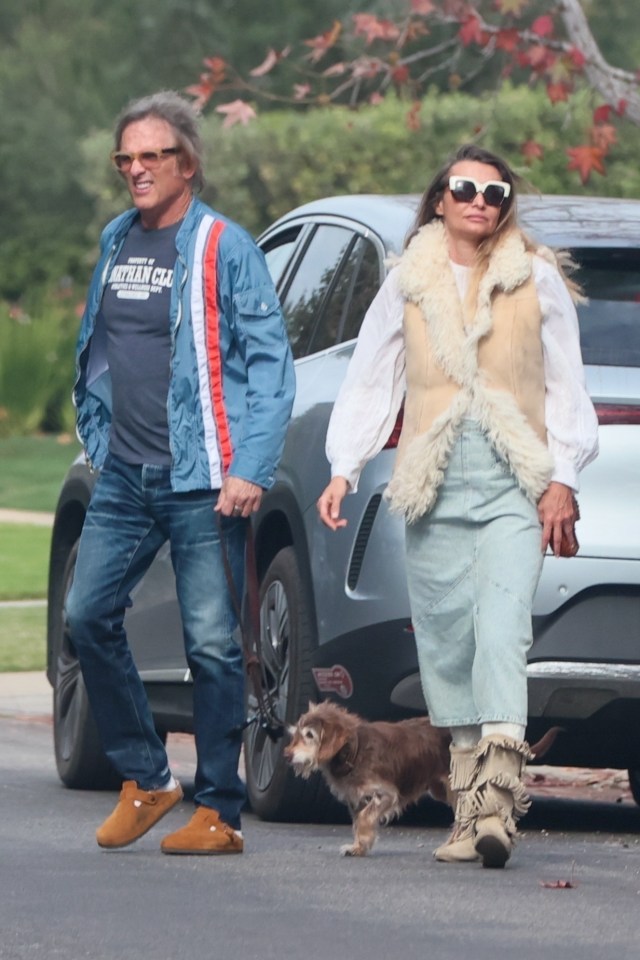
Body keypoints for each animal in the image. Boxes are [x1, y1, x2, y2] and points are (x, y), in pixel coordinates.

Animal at [282, 696, 452, 856]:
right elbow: (358, 822)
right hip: (440, 790)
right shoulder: (357, 799)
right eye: (296, 734)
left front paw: (361, 846)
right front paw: (358, 847)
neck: (354, 752)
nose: (286, 755)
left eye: (310, 735)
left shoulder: (386, 794)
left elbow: (364, 817)